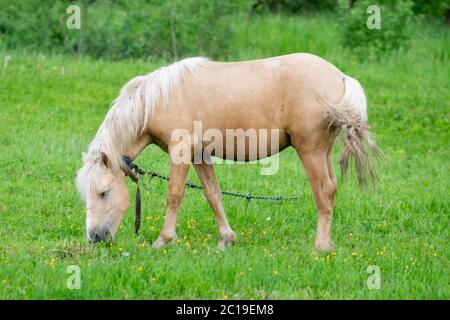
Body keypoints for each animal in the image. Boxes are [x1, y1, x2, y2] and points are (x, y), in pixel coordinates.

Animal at [75, 53, 378, 251]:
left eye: (103, 192)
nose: (95, 238)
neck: (157, 99)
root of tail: (340, 76)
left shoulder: (180, 151)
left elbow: (174, 195)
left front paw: (163, 240)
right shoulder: (200, 156)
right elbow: (213, 194)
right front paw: (226, 238)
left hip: (310, 150)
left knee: (324, 191)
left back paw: (321, 246)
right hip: (323, 152)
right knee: (332, 189)